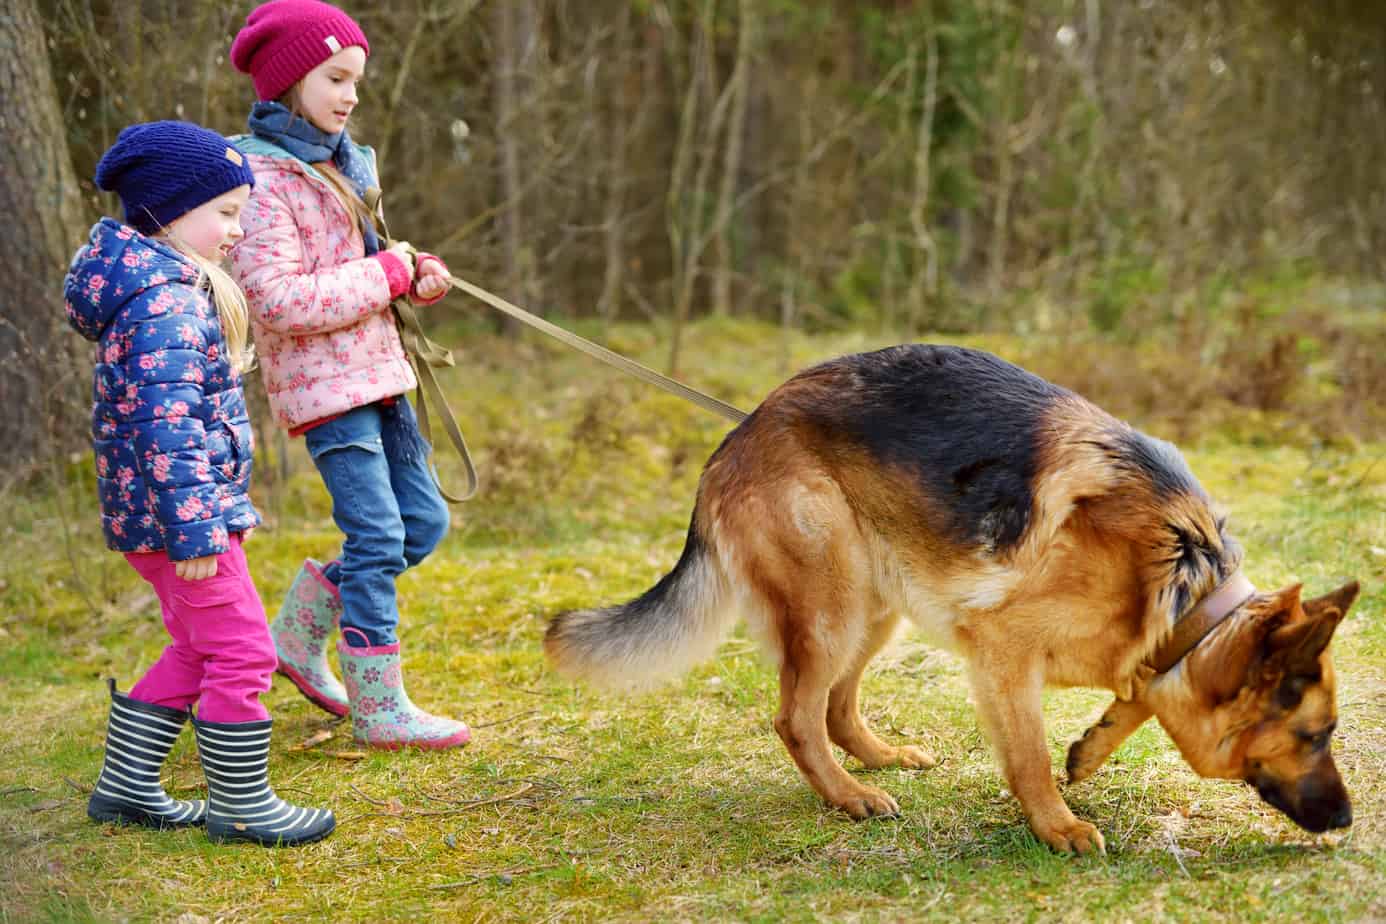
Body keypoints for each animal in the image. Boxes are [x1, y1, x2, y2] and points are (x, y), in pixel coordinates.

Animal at [546, 344, 1358, 853]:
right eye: (1316, 736)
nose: (1350, 820)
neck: (1182, 577)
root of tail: (739, 432)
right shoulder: (1004, 654)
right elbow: (1029, 755)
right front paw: (1056, 825)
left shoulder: (1143, 648)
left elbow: (1133, 696)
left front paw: (1090, 749)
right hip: (835, 604)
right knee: (797, 717)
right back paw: (848, 797)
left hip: (881, 606)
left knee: (837, 707)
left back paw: (880, 760)